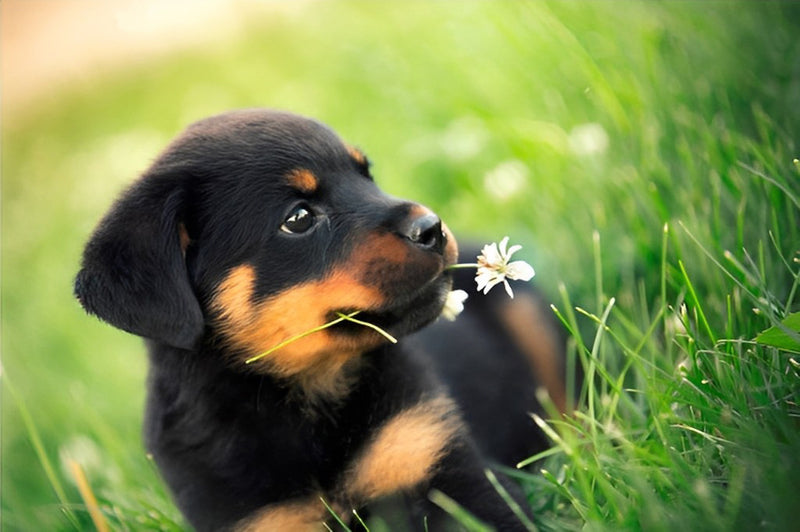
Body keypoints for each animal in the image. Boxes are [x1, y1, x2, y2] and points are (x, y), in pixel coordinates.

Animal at [73, 109, 564, 532]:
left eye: (367, 175)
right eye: (299, 218)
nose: (432, 227)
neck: (305, 397)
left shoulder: (436, 460)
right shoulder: (263, 520)